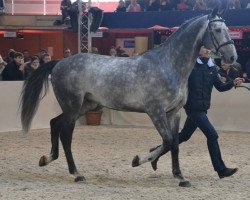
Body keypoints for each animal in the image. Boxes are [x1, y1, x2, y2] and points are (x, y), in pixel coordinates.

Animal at [20, 7, 236, 187]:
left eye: (228, 29)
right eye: (218, 30)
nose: (232, 57)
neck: (168, 65)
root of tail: (59, 63)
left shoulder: (174, 113)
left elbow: (174, 143)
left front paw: (180, 177)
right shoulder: (155, 111)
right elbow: (167, 141)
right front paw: (139, 160)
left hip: (85, 105)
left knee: (54, 123)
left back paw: (47, 159)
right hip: (72, 106)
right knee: (65, 135)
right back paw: (76, 173)